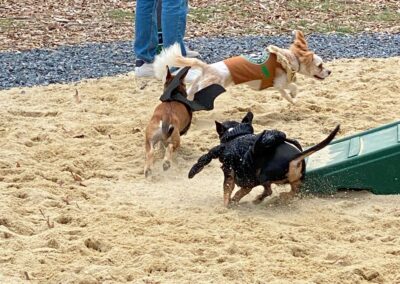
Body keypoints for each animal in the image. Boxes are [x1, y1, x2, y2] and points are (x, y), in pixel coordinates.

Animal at [153, 30, 332, 105]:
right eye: (320, 65)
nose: (329, 71)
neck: (287, 58)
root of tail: (208, 67)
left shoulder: (279, 86)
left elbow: (287, 93)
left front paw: (293, 101)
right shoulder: (280, 83)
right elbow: (293, 87)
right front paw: (294, 97)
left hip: (199, 83)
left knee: (189, 93)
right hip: (209, 86)